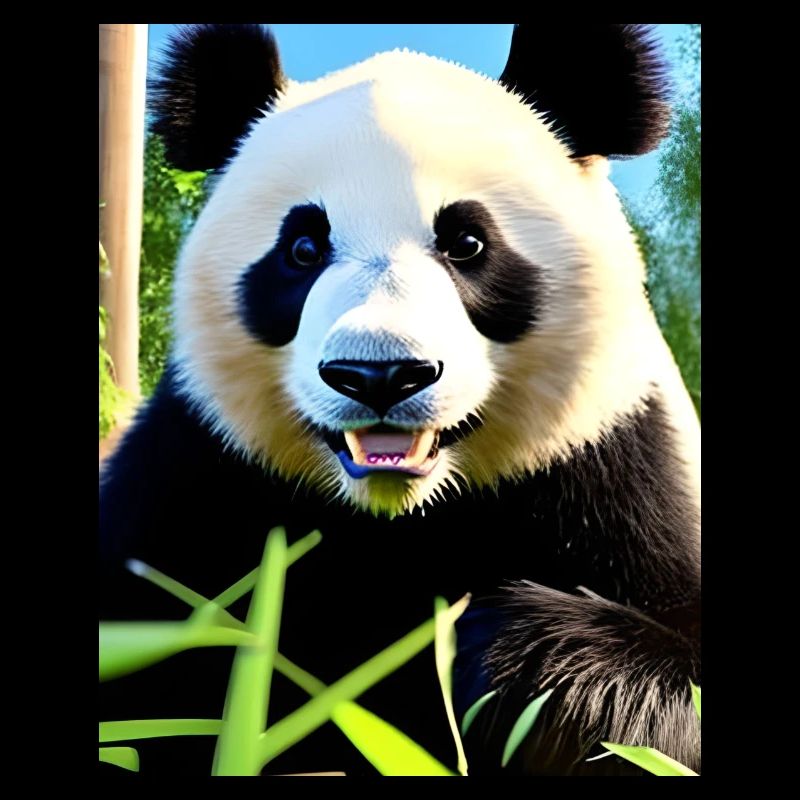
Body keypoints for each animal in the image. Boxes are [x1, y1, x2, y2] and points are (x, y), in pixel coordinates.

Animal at [100, 23, 701, 776]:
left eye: (468, 242)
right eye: (302, 247)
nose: (379, 374)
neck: (400, 514)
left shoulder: (614, 464)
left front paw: (523, 670)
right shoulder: (192, 473)